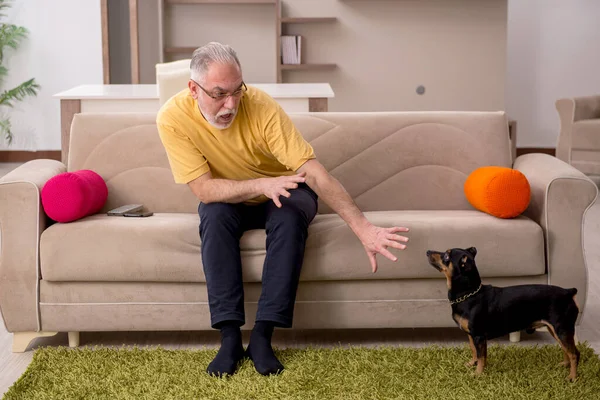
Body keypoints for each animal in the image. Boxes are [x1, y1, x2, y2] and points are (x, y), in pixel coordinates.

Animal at [424, 247, 580, 382]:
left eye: (446, 256)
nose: (428, 251)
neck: (469, 294)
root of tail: (568, 292)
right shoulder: (471, 335)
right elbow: (474, 351)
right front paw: (472, 364)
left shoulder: (479, 336)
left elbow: (481, 356)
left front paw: (477, 374)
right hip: (556, 330)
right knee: (567, 350)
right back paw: (564, 365)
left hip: (562, 329)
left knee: (574, 354)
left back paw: (572, 377)